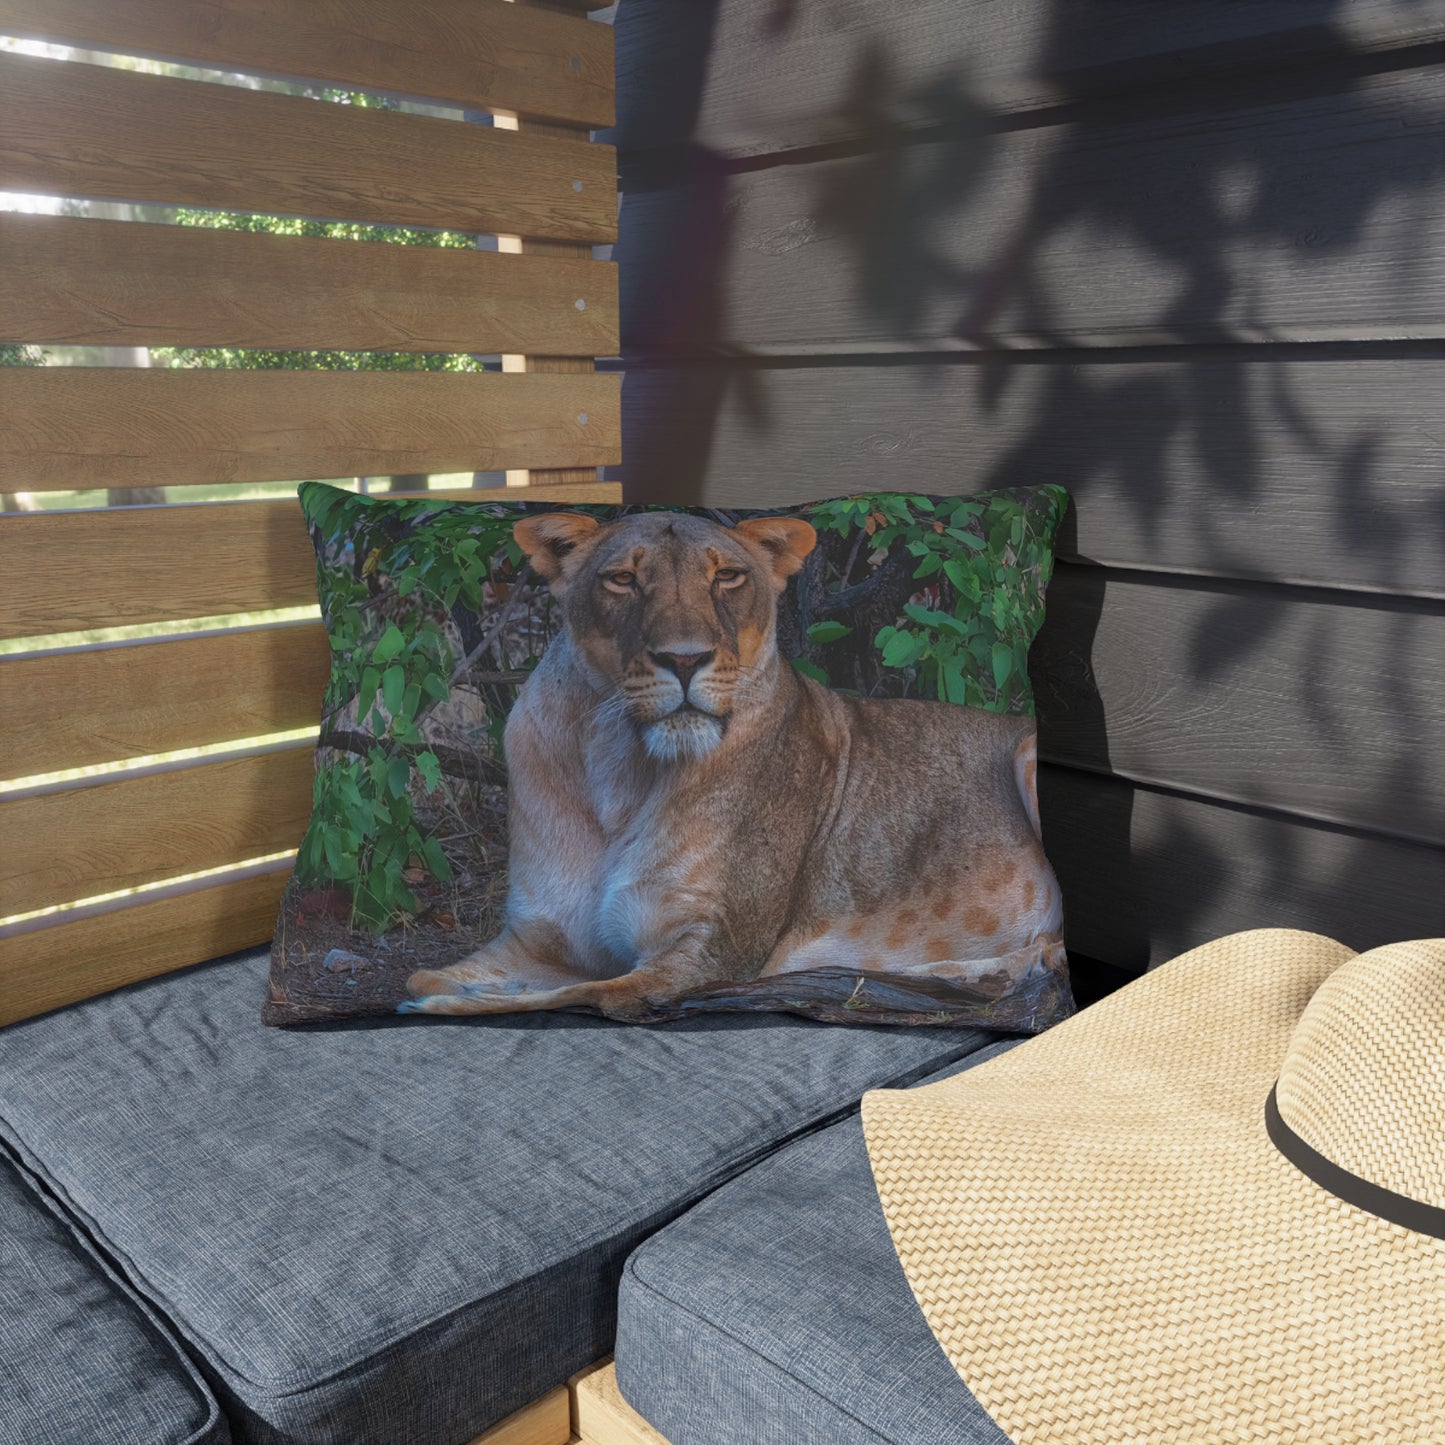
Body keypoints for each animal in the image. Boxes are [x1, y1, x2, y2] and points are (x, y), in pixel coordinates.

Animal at [403, 510, 1068, 1023]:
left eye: (726, 577)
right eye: (623, 580)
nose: (684, 659)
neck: (620, 767)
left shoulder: (708, 953)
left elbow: (584, 994)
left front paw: (444, 1008)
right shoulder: (538, 939)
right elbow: (427, 975)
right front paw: (438, 993)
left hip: (1027, 754)